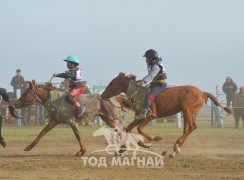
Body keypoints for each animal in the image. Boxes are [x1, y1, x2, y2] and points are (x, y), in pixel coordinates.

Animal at [101, 73, 233, 158]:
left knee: (191, 127)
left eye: (112, 84)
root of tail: (202, 93)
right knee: (188, 128)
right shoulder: (140, 117)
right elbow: (128, 128)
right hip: (186, 112)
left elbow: (139, 129)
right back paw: (175, 150)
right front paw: (122, 149)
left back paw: (175, 149)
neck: (138, 93)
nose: (102, 95)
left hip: (187, 110)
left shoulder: (150, 116)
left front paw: (155, 138)